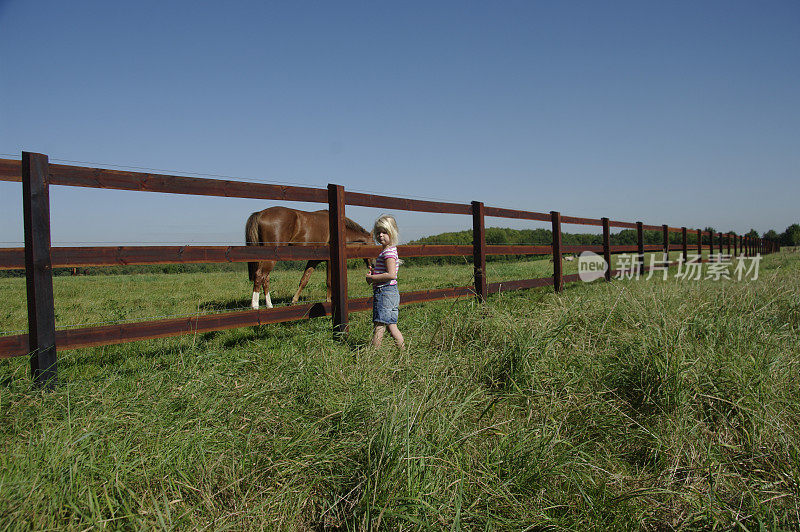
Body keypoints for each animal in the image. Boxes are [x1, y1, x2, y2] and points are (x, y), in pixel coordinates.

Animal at [245, 207, 374, 310]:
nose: (372, 265)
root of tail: (260, 213)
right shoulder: (330, 260)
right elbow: (329, 281)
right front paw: (328, 300)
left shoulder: (313, 261)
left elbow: (304, 280)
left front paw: (294, 301)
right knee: (259, 276)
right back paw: (255, 306)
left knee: (265, 278)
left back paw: (269, 305)